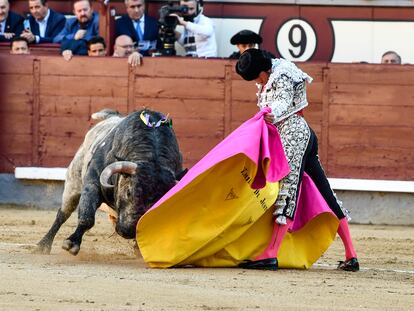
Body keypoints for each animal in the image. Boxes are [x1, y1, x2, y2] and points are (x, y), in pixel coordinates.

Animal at [35, 109, 184, 256]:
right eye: (128, 192)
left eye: (159, 202)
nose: (128, 231)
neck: (150, 156)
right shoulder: (93, 183)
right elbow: (87, 217)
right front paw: (72, 243)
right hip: (73, 182)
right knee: (63, 213)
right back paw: (43, 245)